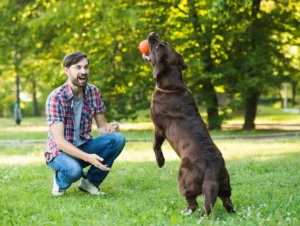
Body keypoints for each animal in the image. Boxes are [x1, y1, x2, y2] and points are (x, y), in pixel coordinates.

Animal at [142, 32, 236, 217]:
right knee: (226, 199)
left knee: (192, 202)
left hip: (184, 178)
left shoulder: (159, 128)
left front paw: (160, 161)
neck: (172, 86)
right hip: (225, 182)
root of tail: (212, 169)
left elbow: (155, 145)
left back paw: (185, 211)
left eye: (158, 46)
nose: (153, 33)